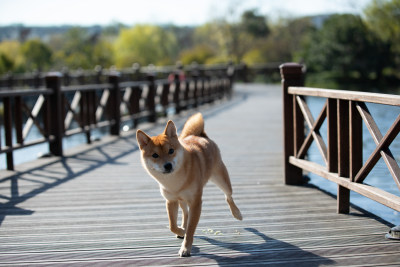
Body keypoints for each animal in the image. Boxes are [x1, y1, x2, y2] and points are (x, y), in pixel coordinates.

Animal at [136, 113, 242, 258]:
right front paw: (181, 231)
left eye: (171, 151)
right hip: (182, 200)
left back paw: (237, 213)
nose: (168, 165)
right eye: (155, 155)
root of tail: (200, 135)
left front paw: (185, 247)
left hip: (222, 179)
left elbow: (191, 229)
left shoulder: (196, 202)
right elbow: (172, 225)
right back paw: (183, 227)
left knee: (228, 196)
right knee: (185, 212)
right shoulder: (171, 201)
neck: (175, 181)